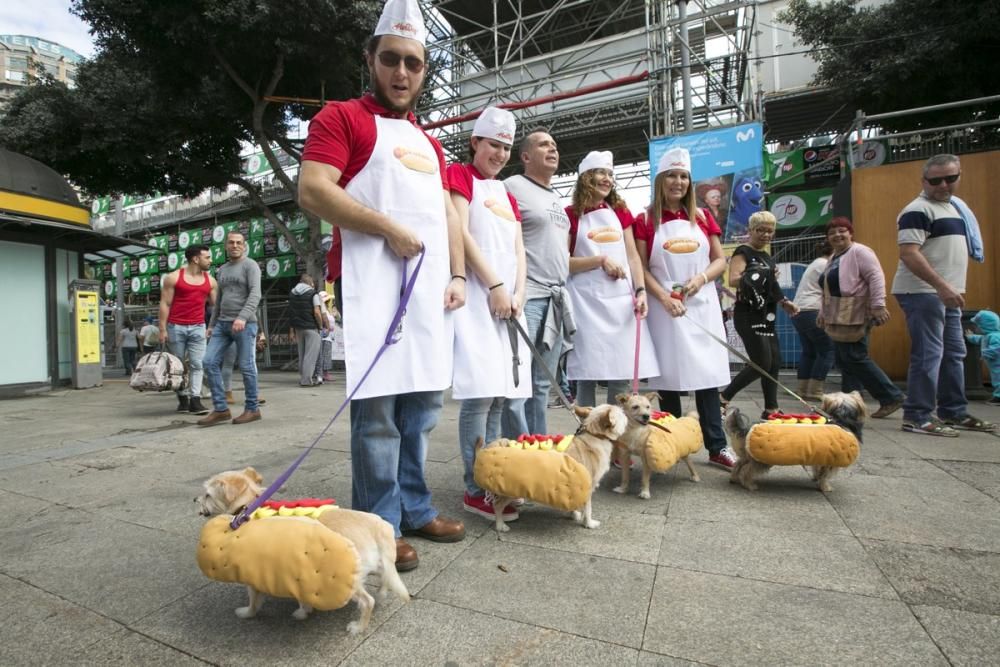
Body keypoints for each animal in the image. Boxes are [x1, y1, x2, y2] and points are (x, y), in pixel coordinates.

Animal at [197, 468, 408, 636]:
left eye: (207, 495)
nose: (194, 499)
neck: (248, 507)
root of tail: (378, 526)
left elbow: (253, 601)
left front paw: (246, 613)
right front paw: (304, 611)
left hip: (349, 580)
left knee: (367, 601)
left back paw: (358, 627)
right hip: (379, 565)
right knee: (385, 580)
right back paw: (382, 594)